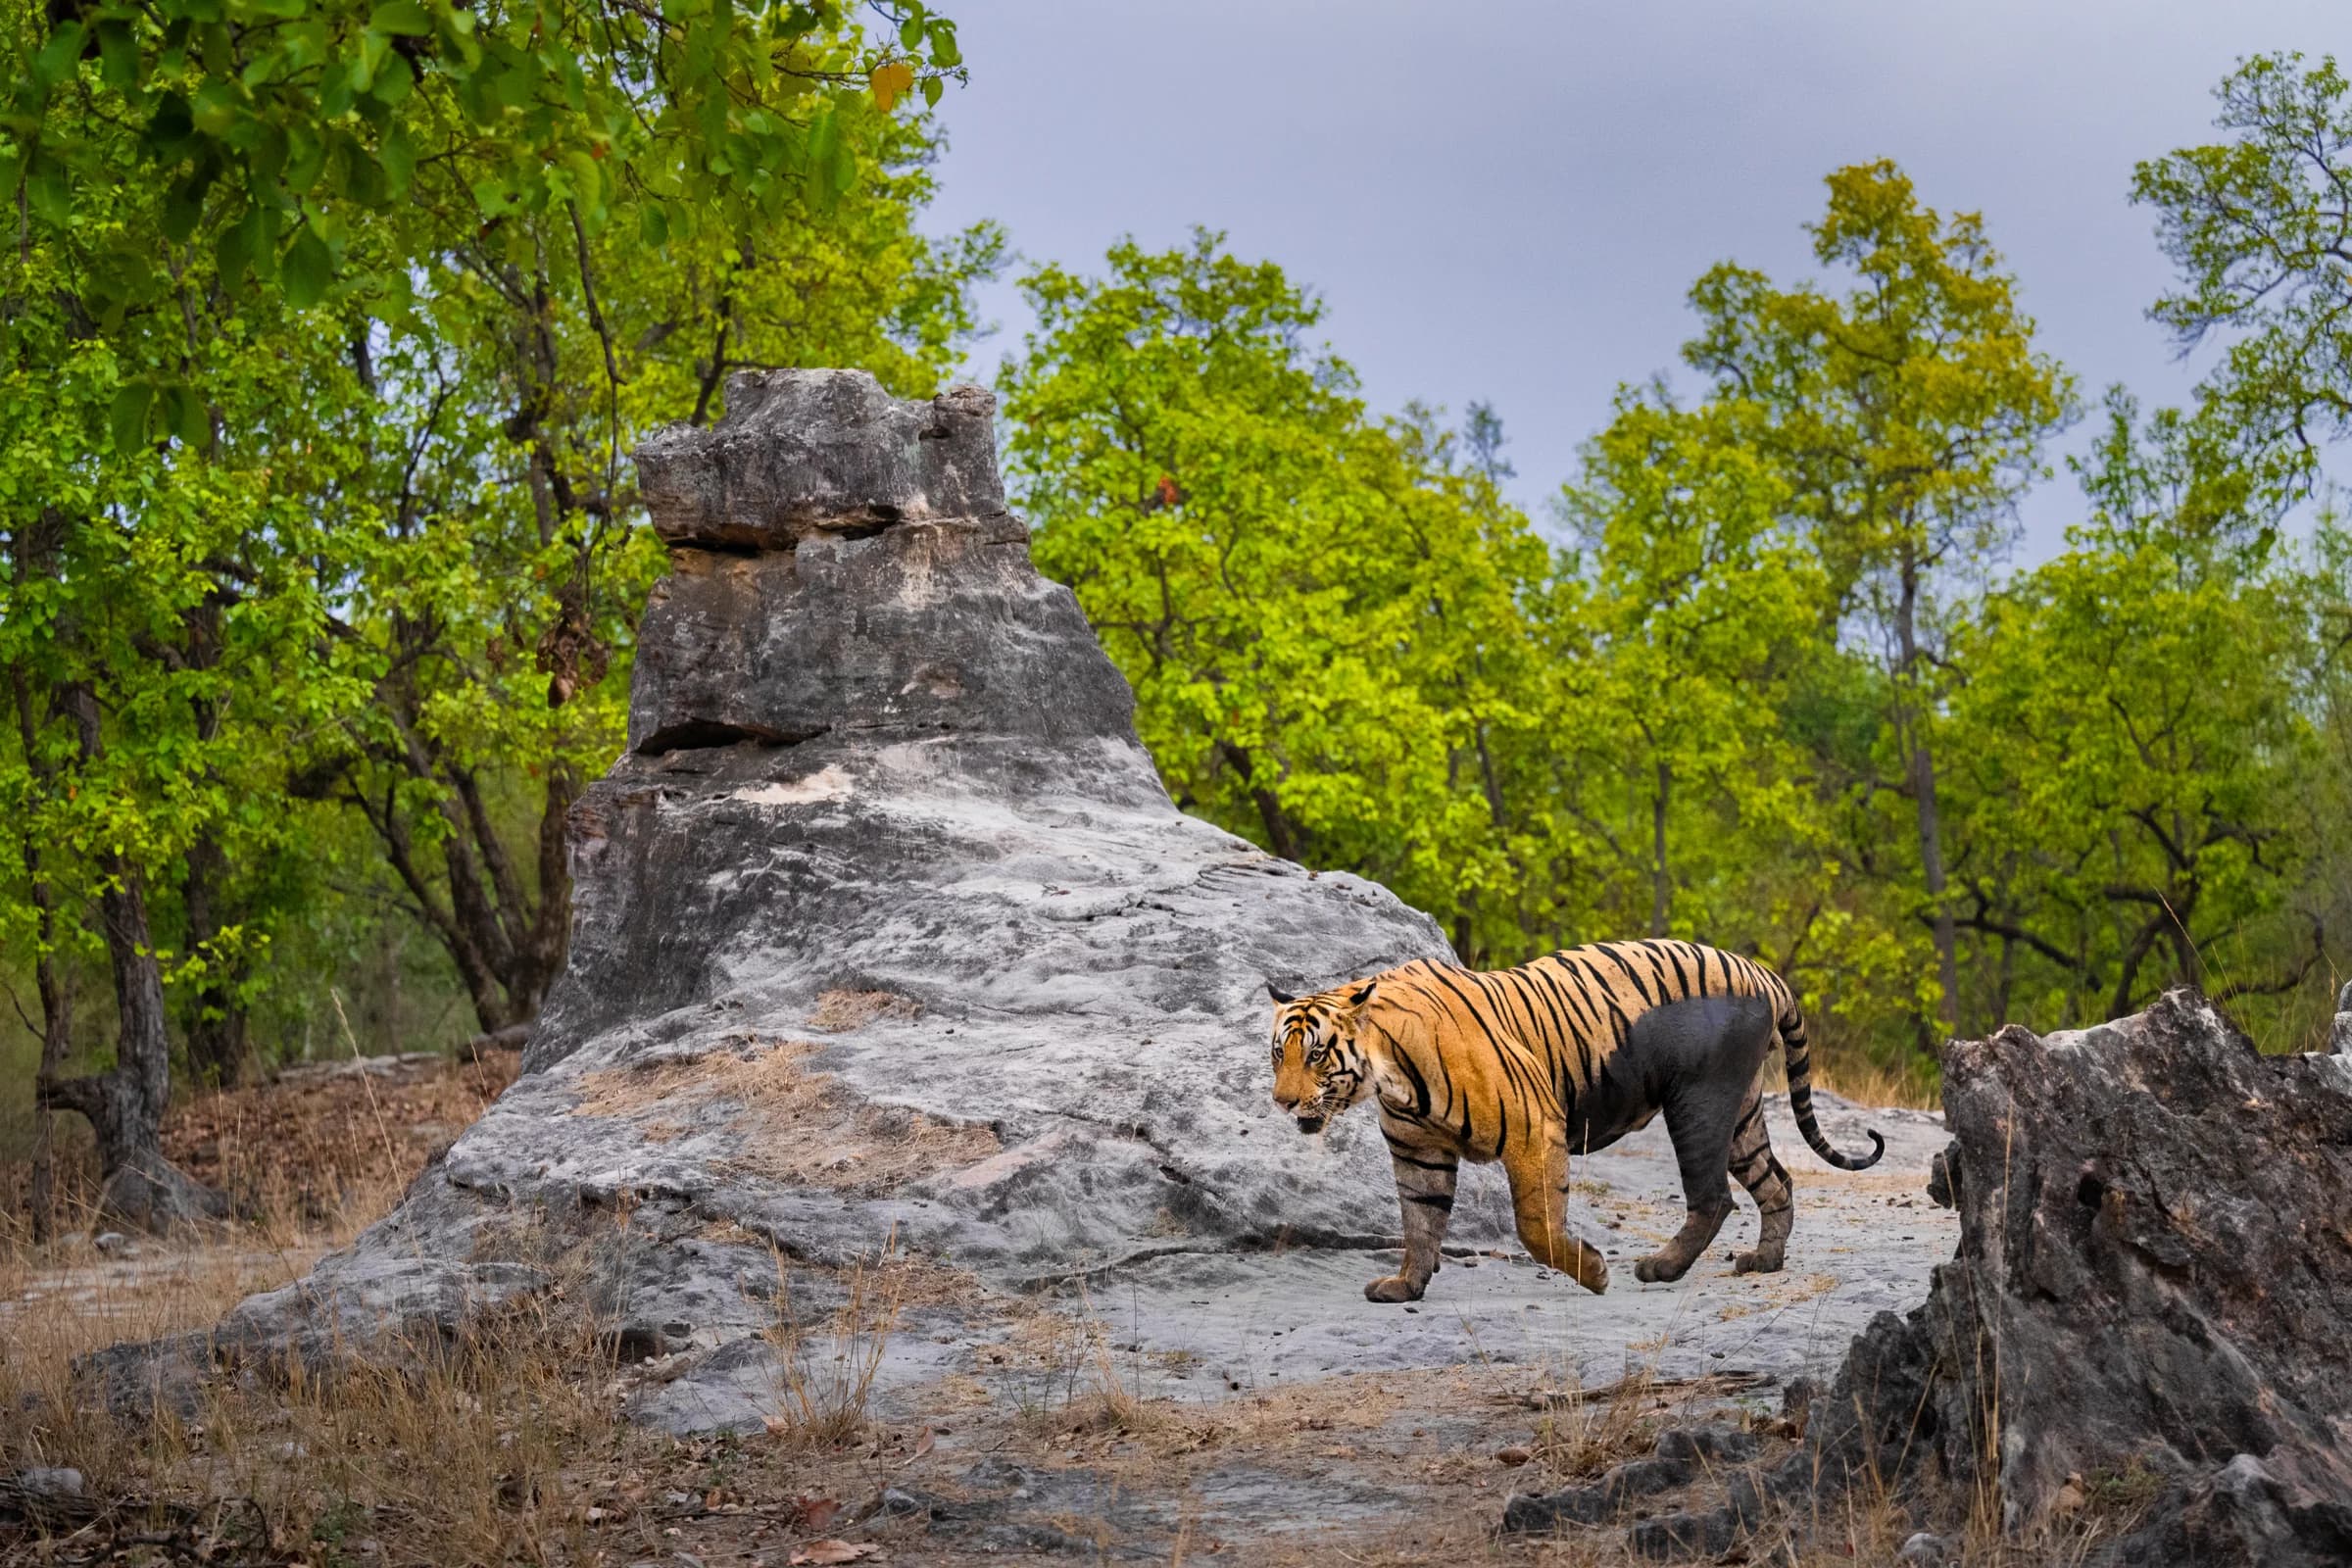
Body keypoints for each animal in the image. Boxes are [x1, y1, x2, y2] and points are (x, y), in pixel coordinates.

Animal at [1265, 940, 1884, 1302]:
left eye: (1315, 1056)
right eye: (1278, 1054)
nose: (1281, 1102)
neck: (1387, 1074)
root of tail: (1760, 971)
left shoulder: (1533, 1129)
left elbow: (1536, 1227)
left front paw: (1594, 1272)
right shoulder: (1419, 1152)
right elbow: (1420, 1222)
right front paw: (1405, 1286)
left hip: (1699, 1103)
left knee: (1713, 1197)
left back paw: (1658, 1269)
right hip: (1741, 1115)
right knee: (1776, 1182)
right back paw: (1764, 1262)